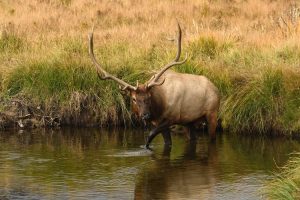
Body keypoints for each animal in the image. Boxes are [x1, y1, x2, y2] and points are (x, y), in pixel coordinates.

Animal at [89, 22, 220, 149]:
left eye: (149, 97)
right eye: (134, 99)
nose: (145, 115)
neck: (160, 106)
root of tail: (216, 89)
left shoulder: (172, 117)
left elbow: (150, 135)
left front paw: (146, 146)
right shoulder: (159, 121)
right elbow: (167, 142)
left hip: (212, 113)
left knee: (212, 138)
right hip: (189, 121)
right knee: (193, 138)